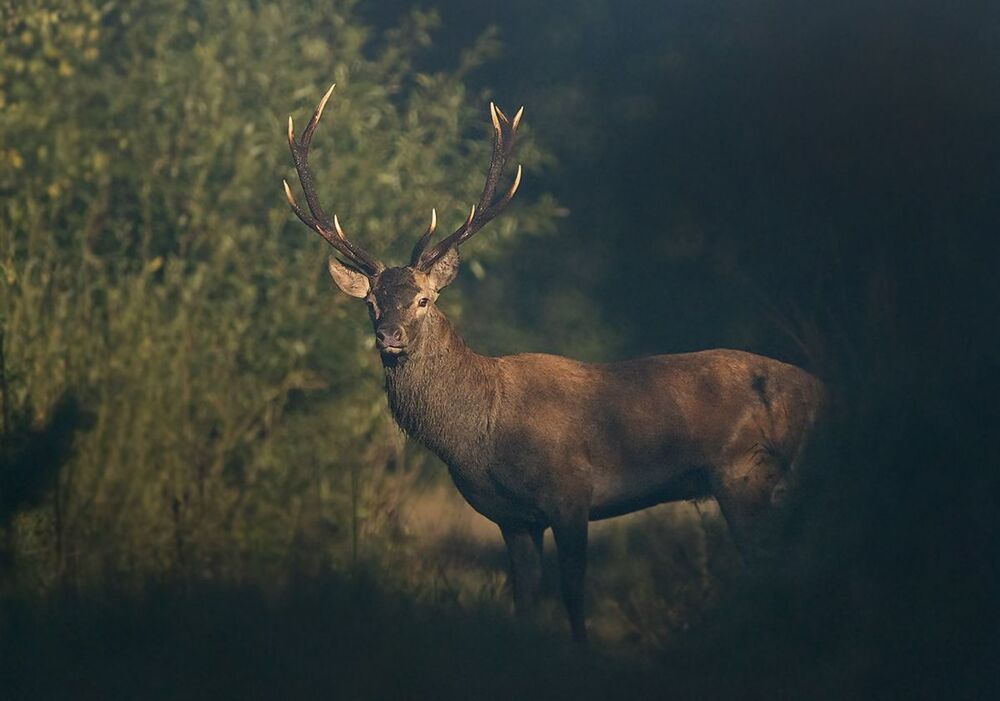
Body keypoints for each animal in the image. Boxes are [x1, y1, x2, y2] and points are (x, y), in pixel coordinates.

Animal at [282, 85, 826, 645]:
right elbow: (524, 597)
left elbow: (572, 592)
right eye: (371, 302)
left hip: (747, 473)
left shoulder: (570, 493)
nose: (388, 335)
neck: (482, 437)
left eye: (423, 300)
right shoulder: (513, 519)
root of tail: (824, 392)